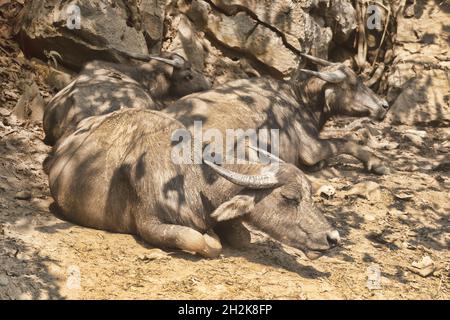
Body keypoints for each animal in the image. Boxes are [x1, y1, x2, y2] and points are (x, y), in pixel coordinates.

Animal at [46, 109, 342, 258]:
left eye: (310, 195)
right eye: (290, 198)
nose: (333, 238)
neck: (191, 179)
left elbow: (243, 237)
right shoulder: (148, 224)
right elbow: (196, 239)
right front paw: (210, 238)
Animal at [164, 54, 390, 175]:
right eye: (353, 84)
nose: (384, 105)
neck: (301, 100)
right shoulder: (311, 149)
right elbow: (344, 141)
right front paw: (377, 162)